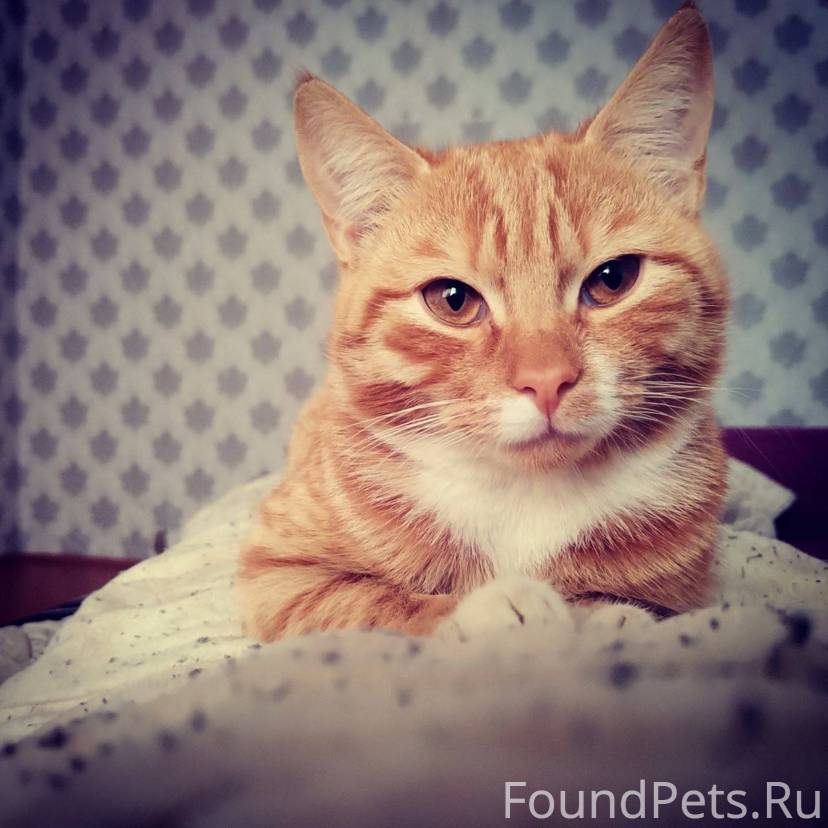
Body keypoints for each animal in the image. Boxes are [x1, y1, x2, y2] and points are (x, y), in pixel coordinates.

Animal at [237, 2, 729, 641]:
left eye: (613, 279)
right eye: (452, 300)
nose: (546, 380)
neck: (526, 499)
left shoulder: (688, 587)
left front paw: (606, 618)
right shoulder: (278, 574)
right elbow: (382, 605)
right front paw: (502, 609)